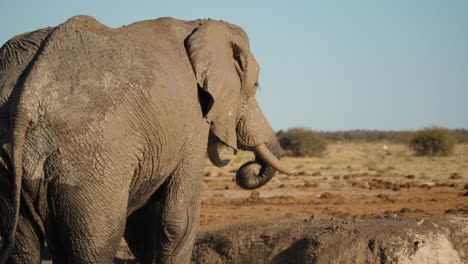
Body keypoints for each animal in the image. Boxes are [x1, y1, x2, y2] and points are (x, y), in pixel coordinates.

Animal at [0, 16, 292, 262]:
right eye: (256, 87)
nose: (247, 167)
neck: (197, 25)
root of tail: (26, 100)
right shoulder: (192, 118)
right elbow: (179, 220)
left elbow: (142, 223)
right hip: (90, 160)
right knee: (95, 243)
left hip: (11, 161)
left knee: (23, 247)